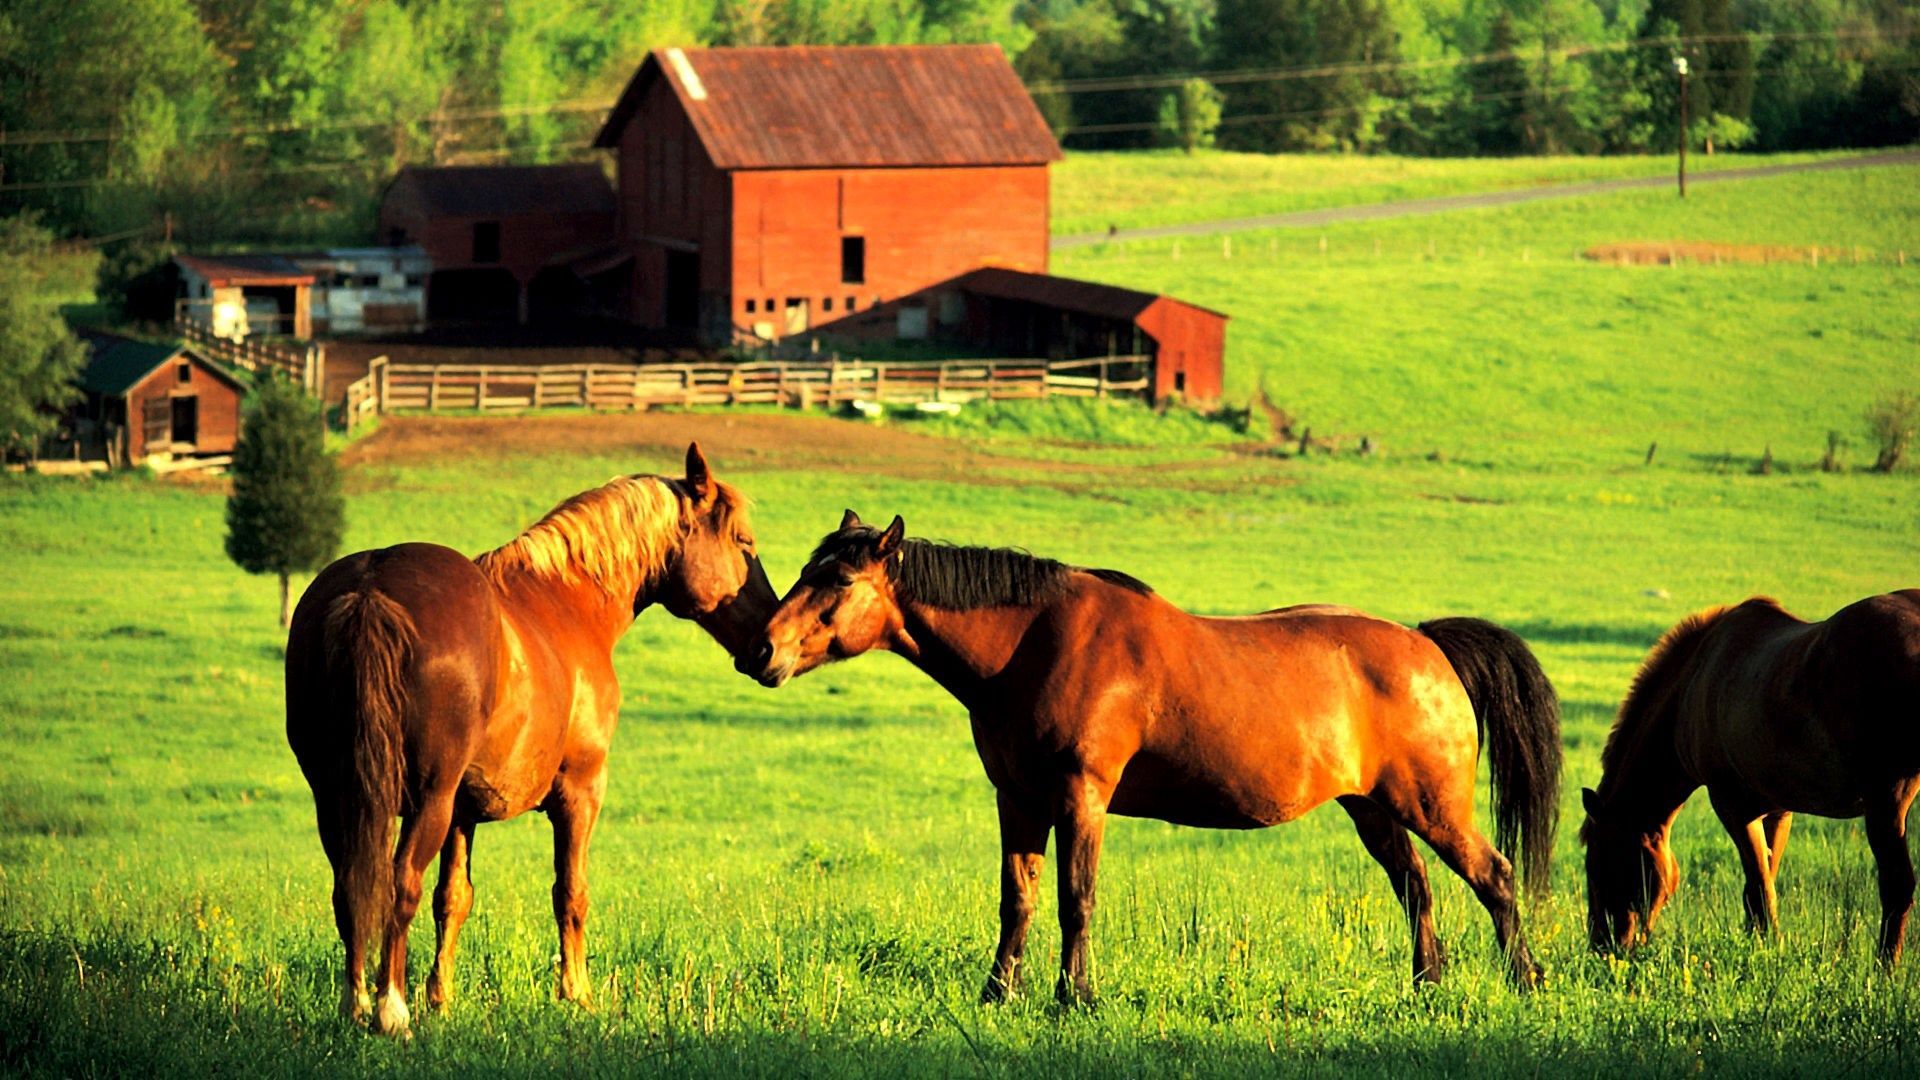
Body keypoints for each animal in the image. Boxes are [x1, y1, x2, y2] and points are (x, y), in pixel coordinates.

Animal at [282, 441, 771, 1030]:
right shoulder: (579, 791)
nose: (768, 643)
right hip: (425, 800)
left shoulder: (463, 812)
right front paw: (576, 993)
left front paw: (441, 997)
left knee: (352, 888)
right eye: (743, 542)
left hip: (339, 798)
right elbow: (570, 892)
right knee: (399, 884)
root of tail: (371, 589)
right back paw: (389, 1008)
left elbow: (454, 898)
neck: (567, 602)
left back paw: (356, 1004)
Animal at [741, 511, 1566, 999]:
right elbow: (1018, 900)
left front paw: (1073, 998)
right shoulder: (1018, 800)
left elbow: (1075, 900)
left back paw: (1524, 979)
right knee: (1416, 887)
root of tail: (1427, 645)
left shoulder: (1081, 798)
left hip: (1431, 805)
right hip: (1374, 809)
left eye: (837, 579)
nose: (760, 650)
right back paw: (1427, 986)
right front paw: (998, 994)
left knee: (1494, 877)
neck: (1034, 643)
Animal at [1574, 588, 1920, 957]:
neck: (1695, 680)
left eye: (1600, 863)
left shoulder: (1732, 805)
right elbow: (1765, 878)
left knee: (1897, 885)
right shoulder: (1778, 811)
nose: (1602, 945)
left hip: (1887, 799)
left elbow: (1758, 888)